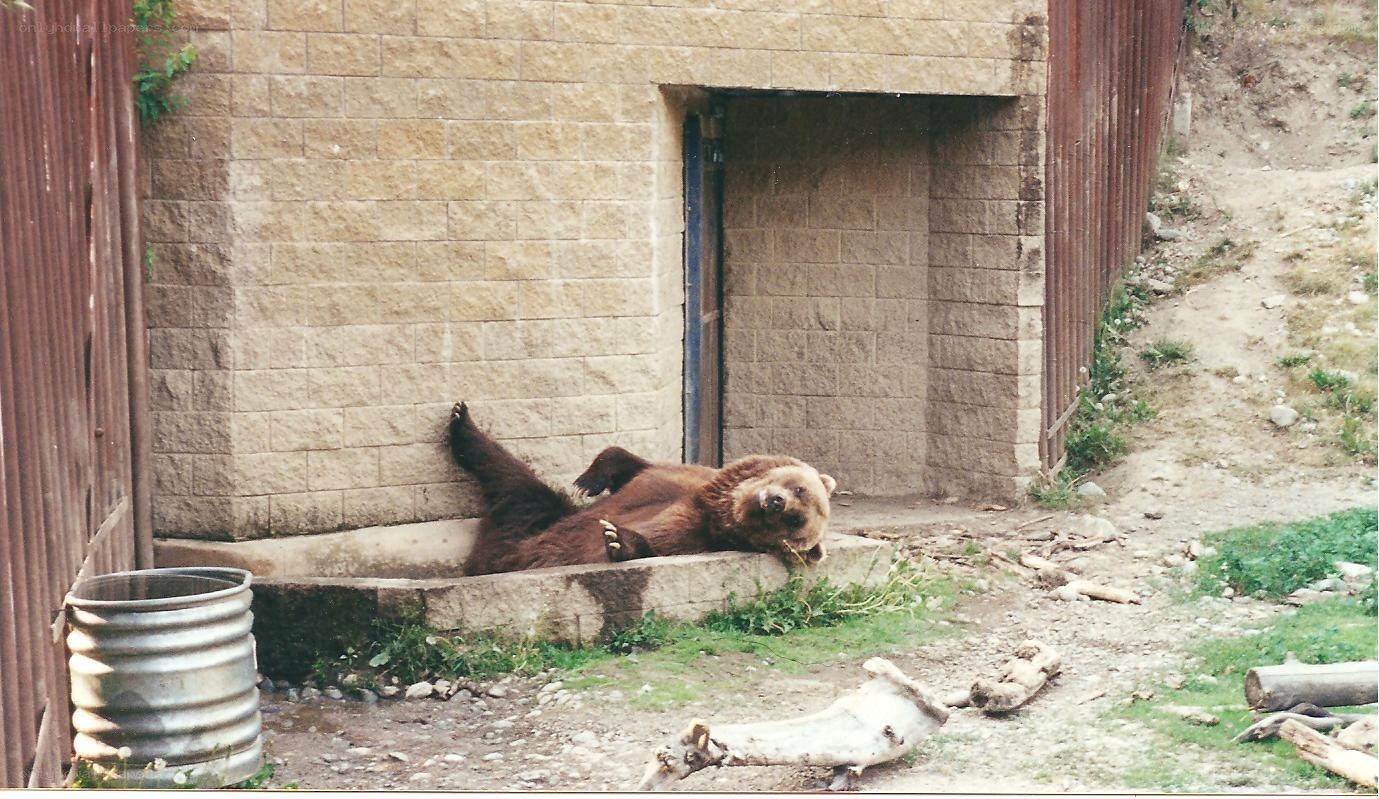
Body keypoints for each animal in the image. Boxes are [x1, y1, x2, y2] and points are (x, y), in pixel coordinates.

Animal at [447, 402, 838, 576]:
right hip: (539, 521)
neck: (716, 503)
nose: (776, 503)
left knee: (516, 494)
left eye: (795, 522)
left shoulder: (696, 533)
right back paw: (462, 423)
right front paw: (590, 479)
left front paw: (617, 538)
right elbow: (633, 466)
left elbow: (657, 542)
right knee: (518, 484)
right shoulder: (677, 478)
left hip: (519, 537)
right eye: (799, 489)